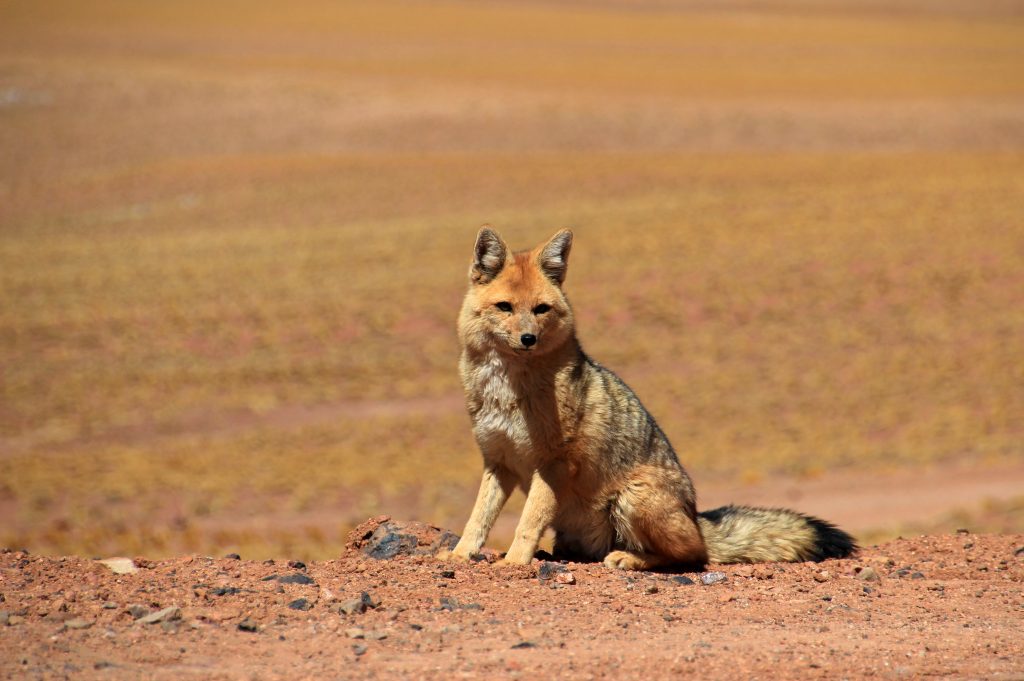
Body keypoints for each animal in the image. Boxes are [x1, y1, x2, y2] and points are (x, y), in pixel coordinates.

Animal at [448, 227, 856, 569]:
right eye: (505, 307)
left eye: (541, 310)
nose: (528, 339)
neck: (507, 390)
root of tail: (695, 516)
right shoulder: (498, 461)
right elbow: (477, 518)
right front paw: (457, 555)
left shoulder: (553, 463)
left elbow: (528, 521)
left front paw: (514, 563)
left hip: (634, 496)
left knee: (693, 555)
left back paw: (629, 558)